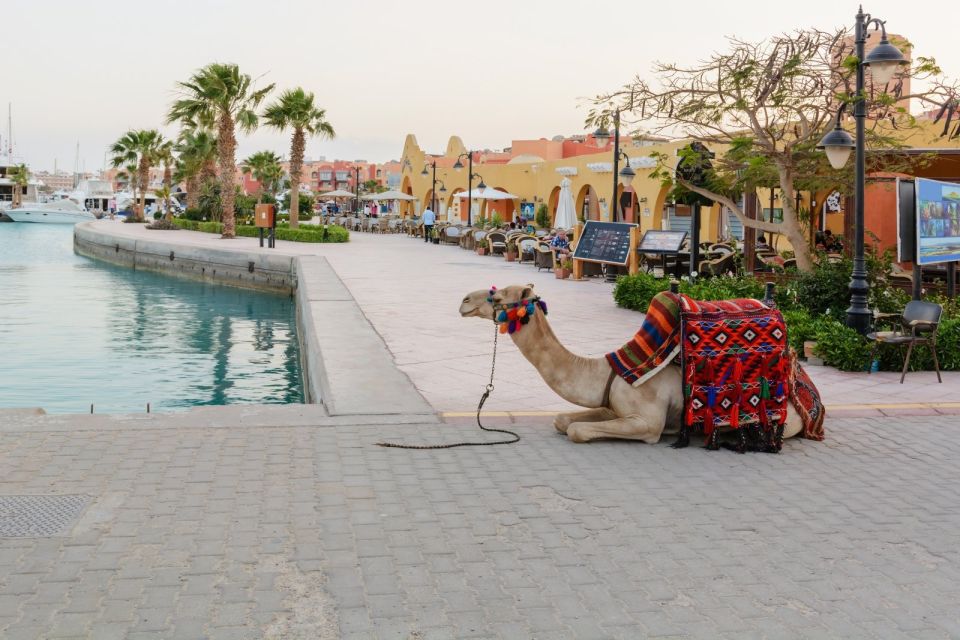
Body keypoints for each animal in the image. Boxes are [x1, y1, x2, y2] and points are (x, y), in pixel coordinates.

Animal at [458, 284, 804, 444]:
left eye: (498, 298)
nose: (463, 300)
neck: (606, 374)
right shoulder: (611, 405)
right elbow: (562, 420)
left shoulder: (646, 421)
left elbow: (577, 430)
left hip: (784, 421)